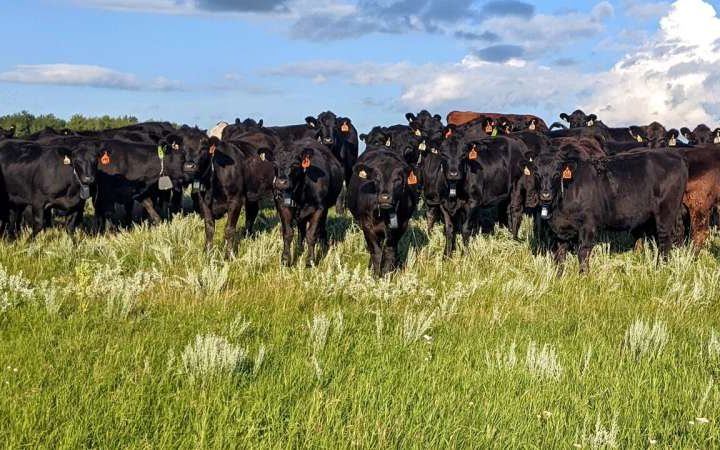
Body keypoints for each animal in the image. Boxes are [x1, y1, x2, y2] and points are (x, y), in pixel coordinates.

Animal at [272, 137, 344, 266]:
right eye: (274, 163)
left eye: (295, 164)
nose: (281, 182)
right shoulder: (282, 206)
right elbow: (288, 233)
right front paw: (285, 259)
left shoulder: (319, 208)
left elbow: (311, 234)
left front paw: (310, 260)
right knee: (301, 229)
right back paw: (300, 246)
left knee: (321, 227)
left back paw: (324, 245)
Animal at [348, 149, 419, 277]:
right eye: (376, 178)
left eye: (398, 179)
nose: (385, 197)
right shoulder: (367, 226)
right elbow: (376, 251)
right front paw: (375, 275)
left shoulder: (401, 226)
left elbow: (389, 251)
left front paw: (386, 275)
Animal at [530, 149, 688, 273]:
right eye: (536, 173)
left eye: (557, 173)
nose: (545, 195)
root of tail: (675, 156)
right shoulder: (561, 229)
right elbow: (560, 256)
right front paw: (559, 277)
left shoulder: (588, 225)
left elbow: (583, 252)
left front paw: (583, 277)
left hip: (666, 213)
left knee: (664, 241)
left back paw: (661, 269)